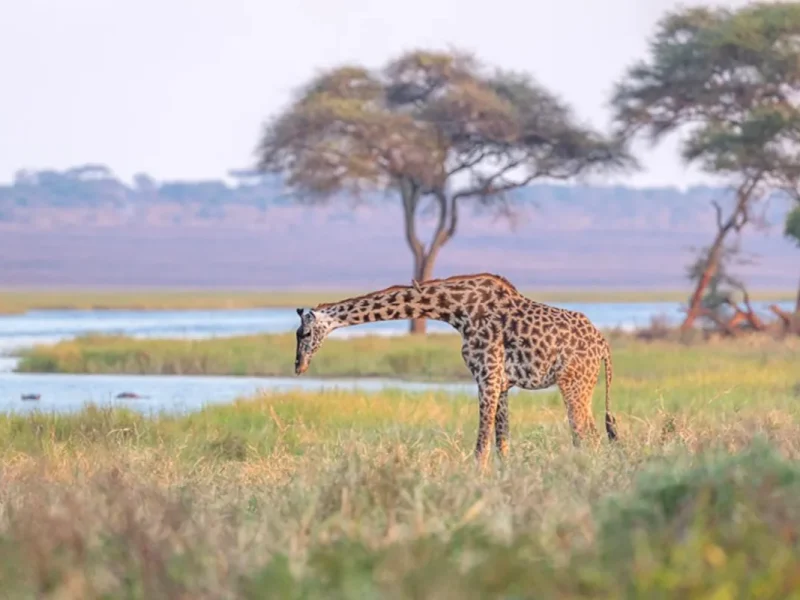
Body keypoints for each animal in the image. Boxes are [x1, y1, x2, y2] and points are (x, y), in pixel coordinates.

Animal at [293, 272, 617, 467]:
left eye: (304, 334)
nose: (298, 366)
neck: (455, 311)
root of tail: (603, 344)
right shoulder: (501, 383)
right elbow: (502, 443)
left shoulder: (487, 376)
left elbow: (482, 445)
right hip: (582, 384)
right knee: (591, 433)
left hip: (574, 383)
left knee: (586, 434)